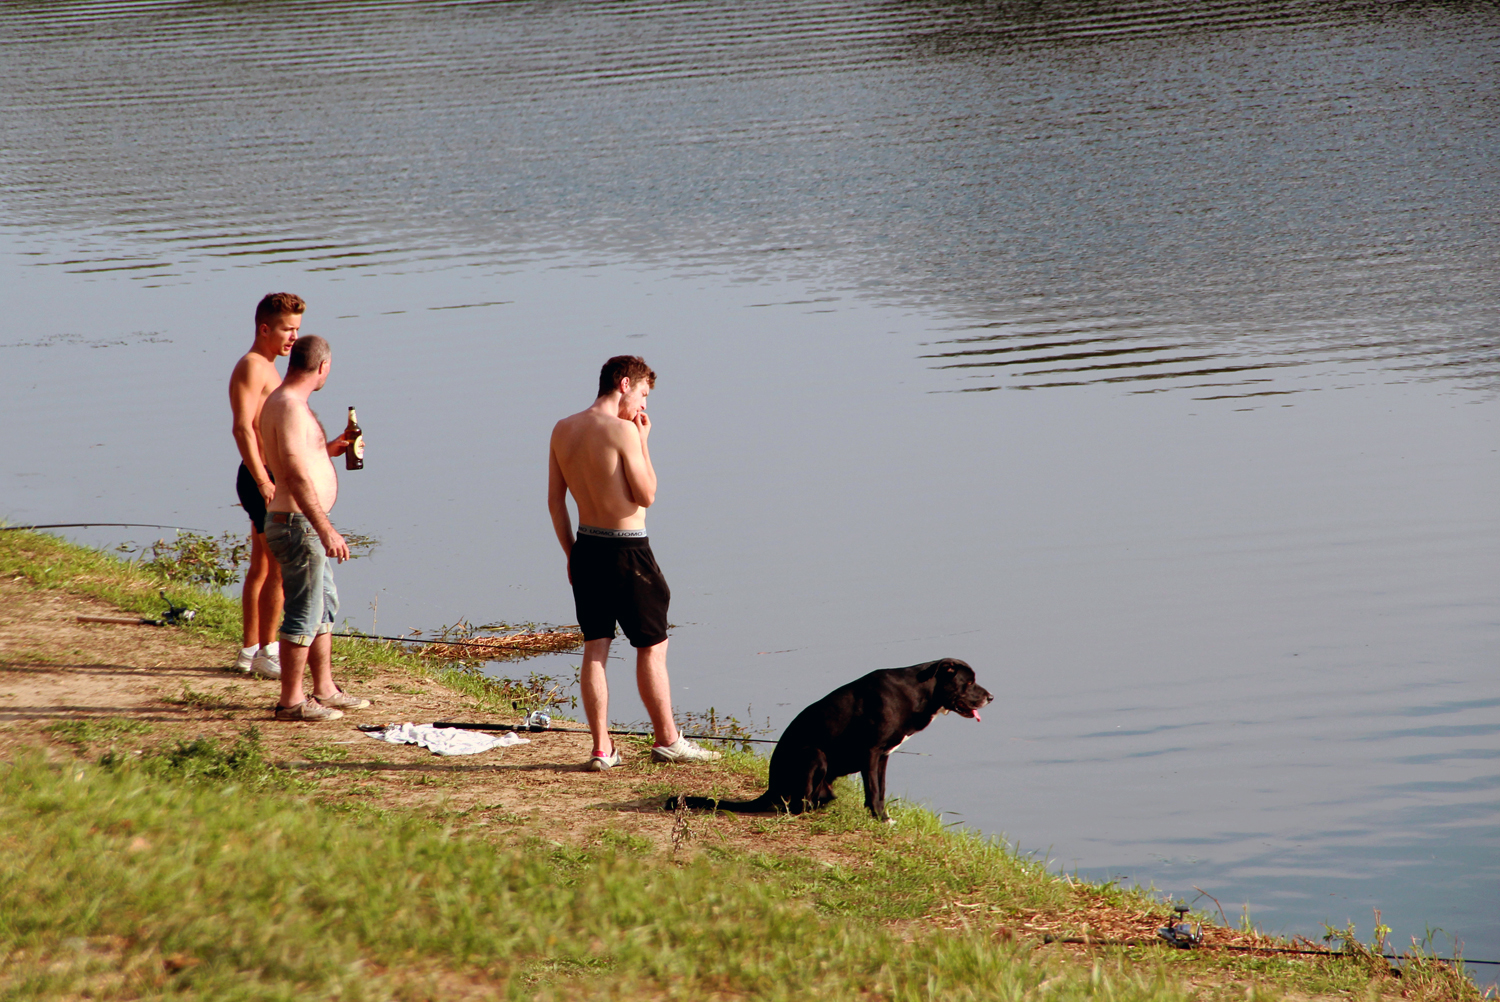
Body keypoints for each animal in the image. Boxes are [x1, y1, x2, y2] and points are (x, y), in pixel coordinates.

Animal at [666, 657, 990, 822]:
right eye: (969, 682)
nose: (991, 697)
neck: (918, 690)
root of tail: (771, 788)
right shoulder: (871, 752)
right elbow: (874, 791)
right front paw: (880, 820)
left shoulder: (884, 756)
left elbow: (881, 789)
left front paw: (882, 816)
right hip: (814, 754)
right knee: (799, 805)